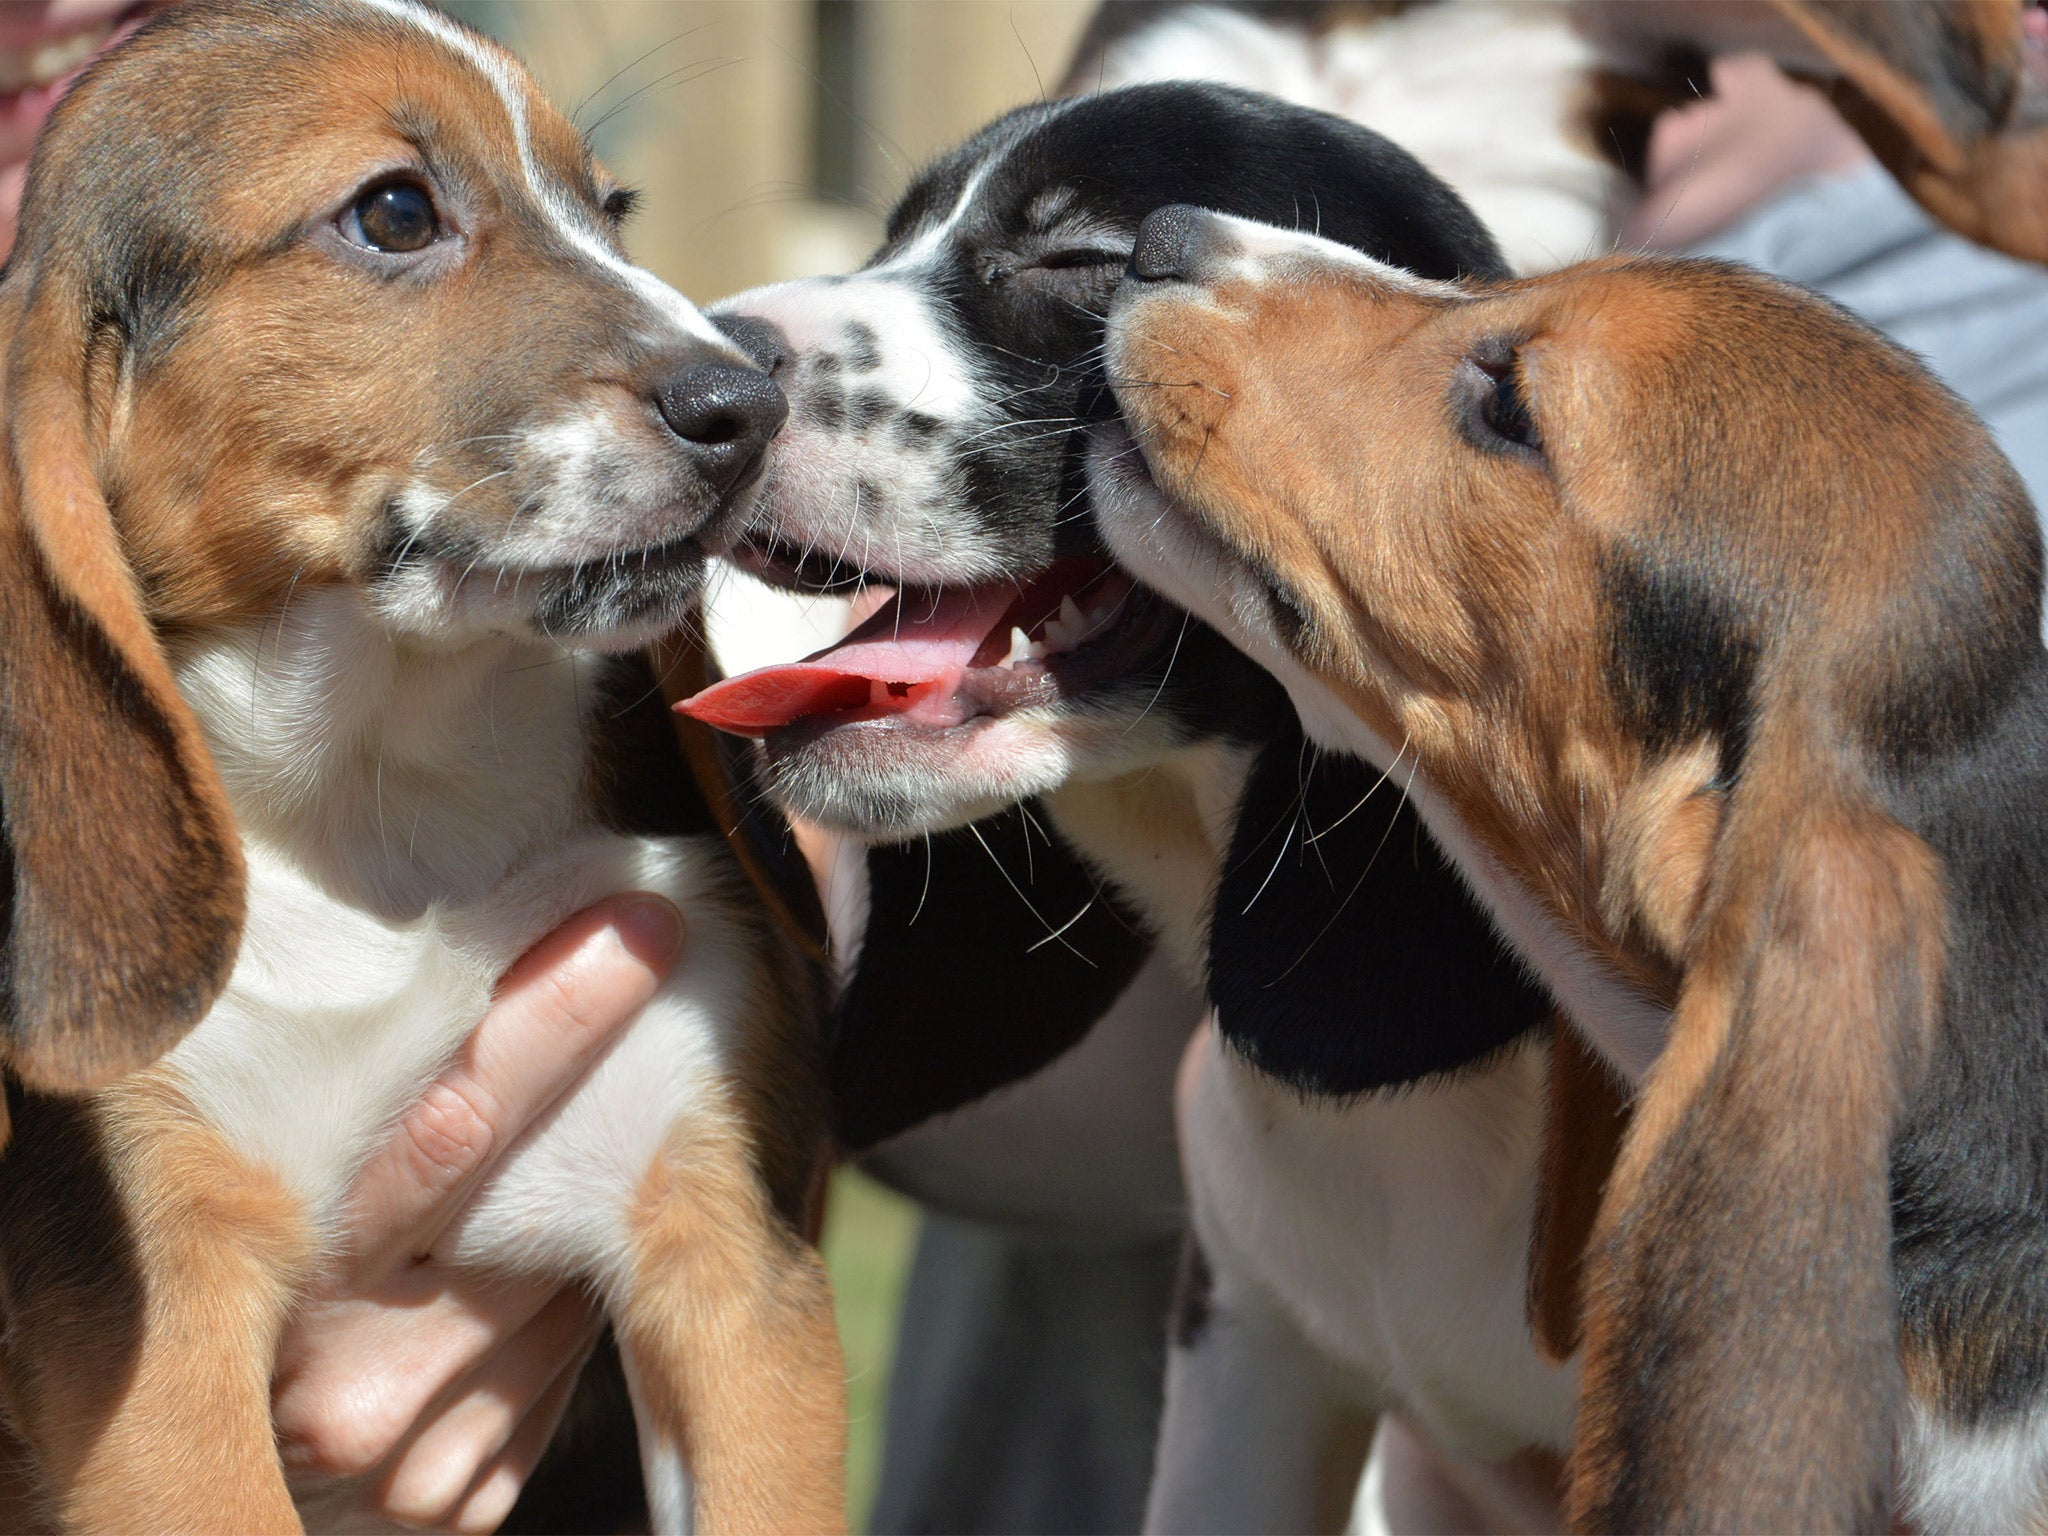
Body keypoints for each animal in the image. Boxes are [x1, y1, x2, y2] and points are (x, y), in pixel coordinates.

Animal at [0, 3, 839, 1536]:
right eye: (394, 213)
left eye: (611, 206)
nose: (754, 404)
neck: (385, 797)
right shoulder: (156, 1350)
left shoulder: (730, 1262)